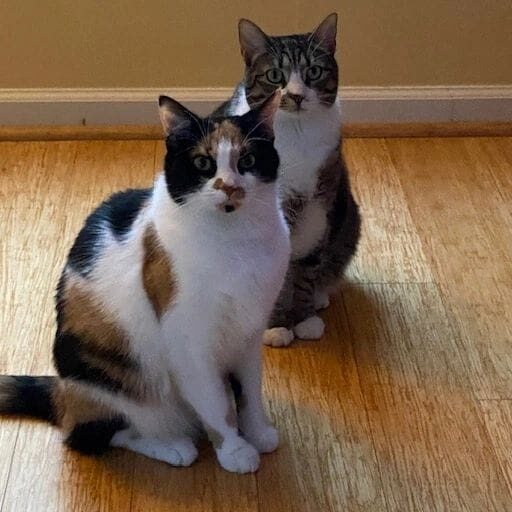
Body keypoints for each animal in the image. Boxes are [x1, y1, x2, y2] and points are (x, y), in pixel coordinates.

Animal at [0, 93, 288, 476]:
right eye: (203, 163)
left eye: (248, 160)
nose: (230, 186)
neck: (237, 242)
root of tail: (60, 393)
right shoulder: (189, 342)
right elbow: (216, 402)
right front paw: (234, 449)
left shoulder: (249, 331)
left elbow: (250, 389)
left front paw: (257, 432)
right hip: (106, 379)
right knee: (95, 435)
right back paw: (173, 446)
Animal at [216, 13, 360, 348]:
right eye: (274, 75)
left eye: (313, 72)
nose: (295, 95)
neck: (295, 135)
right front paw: (278, 325)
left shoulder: (321, 199)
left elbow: (308, 267)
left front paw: (304, 318)